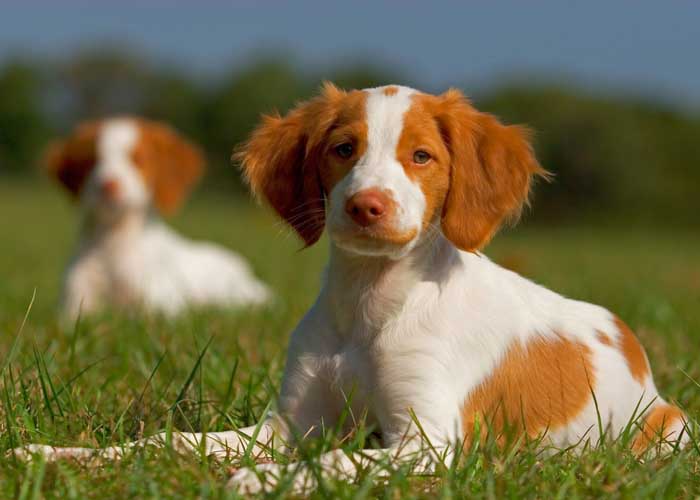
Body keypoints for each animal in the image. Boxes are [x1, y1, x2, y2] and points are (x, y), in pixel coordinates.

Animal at [47, 118, 270, 320]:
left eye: (138, 160)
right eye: (91, 161)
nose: (108, 186)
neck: (114, 240)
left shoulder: (159, 303)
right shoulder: (75, 300)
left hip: (241, 296)